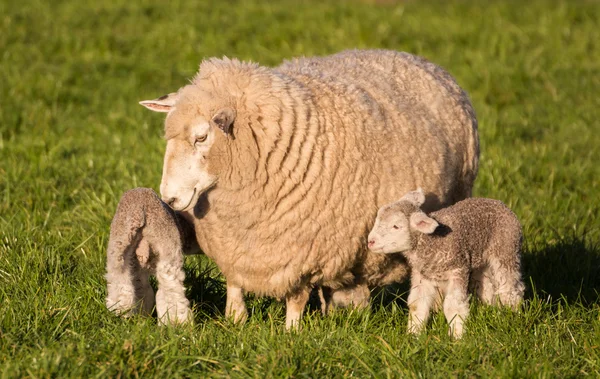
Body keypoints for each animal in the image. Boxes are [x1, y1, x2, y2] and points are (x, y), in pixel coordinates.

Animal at [103, 189, 197, 326]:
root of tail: (139, 208)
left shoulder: (136, 270)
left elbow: (143, 291)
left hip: (118, 247)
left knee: (119, 278)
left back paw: (121, 309)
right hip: (167, 246)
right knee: (170, 287)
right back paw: (177, 322)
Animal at [138, 49, 480, 330]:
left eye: (201, 137)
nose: (169, 197)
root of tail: (422, 61)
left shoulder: (304, 248)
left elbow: (296, 297)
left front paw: (292, 332)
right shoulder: (233, 243)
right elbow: (234, 283)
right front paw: (235, 320)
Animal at [366, 189, 524, 340]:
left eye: (396, 226)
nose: (370, 241)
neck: (430, 243)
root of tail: (499, 203)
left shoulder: (458, 270)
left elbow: (453, 306)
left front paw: (457, 336)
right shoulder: (422, 276)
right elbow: (417, 304)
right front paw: (413, 335)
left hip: (506, 249)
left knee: (510, 288)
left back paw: (512, 314)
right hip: (480, 259)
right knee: (486, 285)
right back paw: (489, 308)